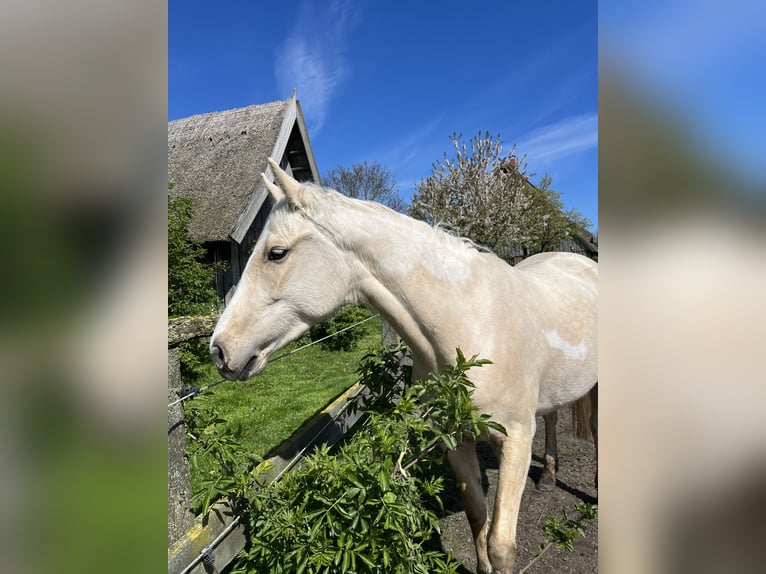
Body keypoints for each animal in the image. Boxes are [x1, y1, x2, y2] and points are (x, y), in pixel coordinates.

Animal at [210, 159, 598, 573]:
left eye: (276, 253)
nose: (219, 350)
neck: (472, 322)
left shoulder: (516, 439)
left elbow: (501, 546)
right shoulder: (454, 437)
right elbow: (477, 516)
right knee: (554, 416)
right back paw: (551, 475)